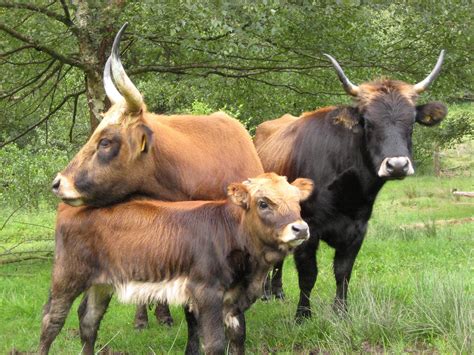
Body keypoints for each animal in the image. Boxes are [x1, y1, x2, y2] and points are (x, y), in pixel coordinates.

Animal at [39, 174, 314, 354]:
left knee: (89, 320)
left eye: (297, 201)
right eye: (263, 203)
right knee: (51, 322)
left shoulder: (233, 298)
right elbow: (214, 343)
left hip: (101, 283)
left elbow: (238, 337)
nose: (300, 228)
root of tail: (70, 206)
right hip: (67, 276)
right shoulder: (206, 292)